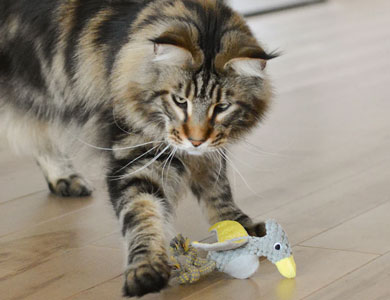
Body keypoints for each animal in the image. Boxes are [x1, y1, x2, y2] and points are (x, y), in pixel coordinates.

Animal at [0, 0, 276, 296]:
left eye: (222, 107)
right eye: (180, 101)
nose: (196, 139)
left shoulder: (209, 153)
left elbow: (218, 191)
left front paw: (241, 227)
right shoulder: (136, 156)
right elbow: (142, 215)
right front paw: (147, 269)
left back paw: (65, 179)